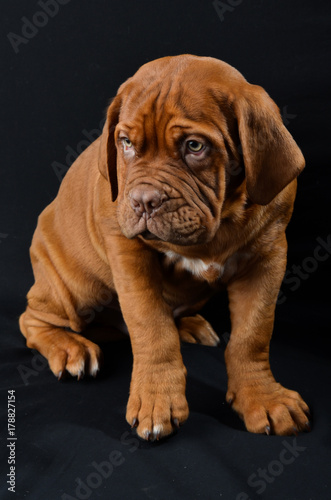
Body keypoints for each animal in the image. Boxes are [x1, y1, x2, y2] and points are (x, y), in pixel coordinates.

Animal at [20, 53, 312, 438]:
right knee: (32, 318)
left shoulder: (269, 256)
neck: (220, 220)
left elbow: (253, 334)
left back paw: (189, 325)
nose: (143, 201)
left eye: (195, 146)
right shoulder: (128, 253)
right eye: (126, 143)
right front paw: (157, 400)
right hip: (77, 289)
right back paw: (70, 349)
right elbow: (151, 327)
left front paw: (262, 397)